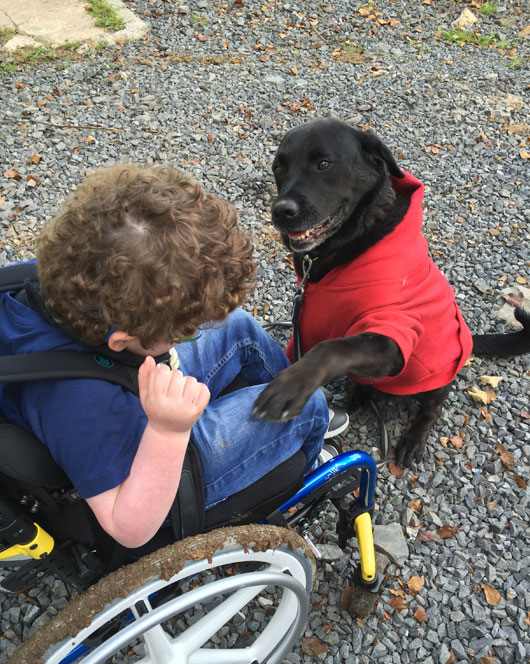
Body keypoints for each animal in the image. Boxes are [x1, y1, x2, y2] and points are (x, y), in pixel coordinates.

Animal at [253, 118, 528, 466]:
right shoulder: (303, 327)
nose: (281, 211)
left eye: (324, 164)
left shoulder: (393, 333)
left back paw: (413, 438)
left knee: (431, 409)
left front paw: (289, 388)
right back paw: (357, 396)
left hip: (439, 377)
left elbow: (333, 348)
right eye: (279, 168)